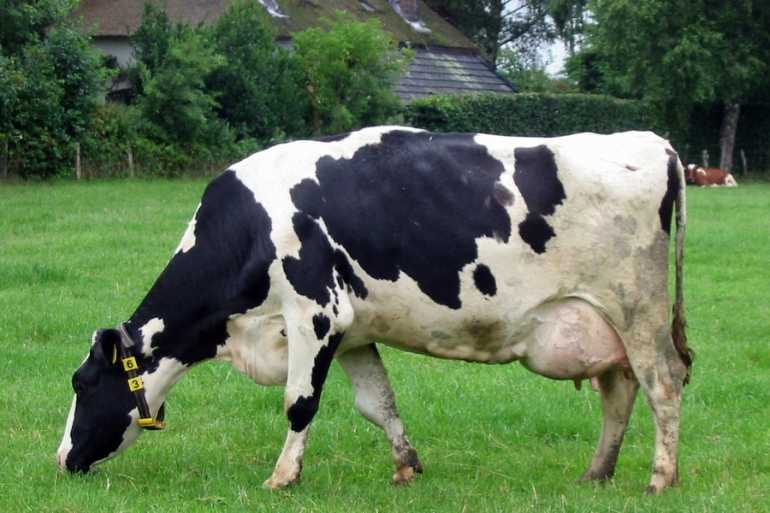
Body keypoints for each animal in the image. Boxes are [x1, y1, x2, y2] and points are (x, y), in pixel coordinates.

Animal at [57, 127, 692, 494]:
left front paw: (281, 477)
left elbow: (298, 403)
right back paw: (596, 473)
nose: (62, 458)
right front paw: (406, 466)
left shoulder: (315, 316)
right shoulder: (354, 331)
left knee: (662, 383)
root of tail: (653, 141)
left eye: (82, 384)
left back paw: (661, 478)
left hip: (637, 307)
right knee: (619, 390)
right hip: (604, 322)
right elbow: (377, 403)